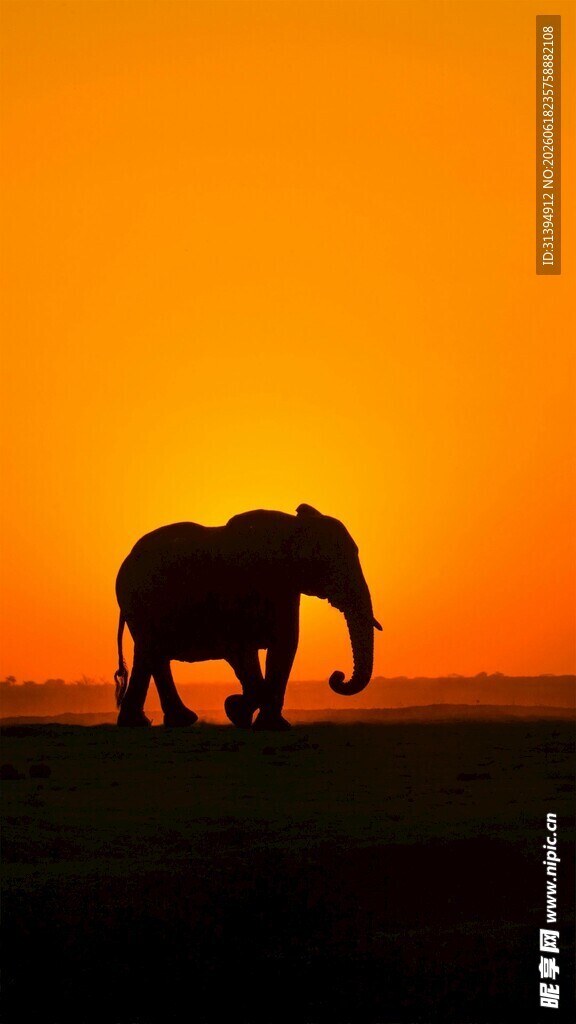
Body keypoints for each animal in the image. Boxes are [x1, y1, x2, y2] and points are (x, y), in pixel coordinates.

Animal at [113, 503, 382, 730]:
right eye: (332, 562)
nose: (337, 676)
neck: (292, 527)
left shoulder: (286, 589)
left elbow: (284, 646)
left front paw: (268, 724)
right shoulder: (240, 589)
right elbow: (242, 648)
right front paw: (236, 710)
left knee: (149, 654)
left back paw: (151, 722)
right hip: (139, 601)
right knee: (153, 652)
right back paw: (169, 721)